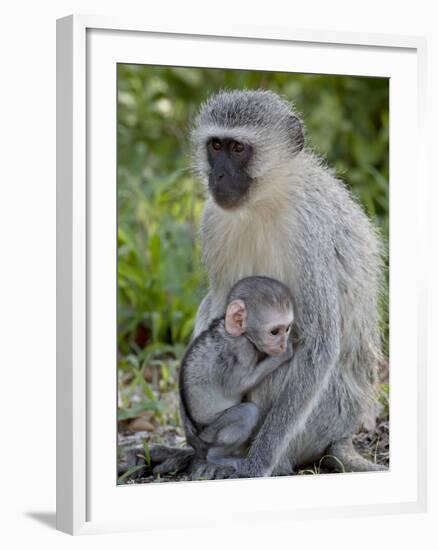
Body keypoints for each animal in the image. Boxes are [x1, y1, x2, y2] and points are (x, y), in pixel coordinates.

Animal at [178, 276, 294, 470]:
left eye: (287, 329)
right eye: (274, 332)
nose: (282, 345)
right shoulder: (242, 349)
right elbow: (237, 386)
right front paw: (284, 355)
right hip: (211, 431)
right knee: (248, 412)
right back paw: (216, 457)